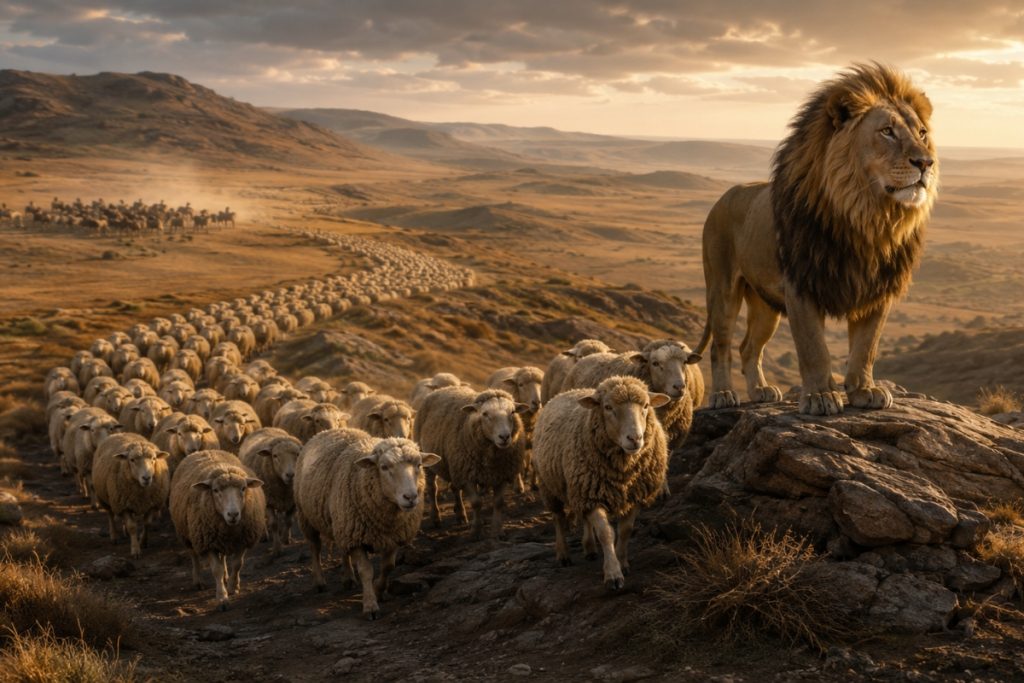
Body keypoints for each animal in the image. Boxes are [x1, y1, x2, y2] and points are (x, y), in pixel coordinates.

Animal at [694, 63, 938, 416]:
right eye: (887, 131)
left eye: (921, 133)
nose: (925, 162)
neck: (868, 217)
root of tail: (725, 196)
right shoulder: (802, 284)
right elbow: (814, 348)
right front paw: (820, 396)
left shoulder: (878, 290)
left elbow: (866, 346)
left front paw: (865, 390)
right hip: (723, 288)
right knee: (722, 345)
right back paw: (724, 394)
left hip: (765, 304)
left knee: (748, 347)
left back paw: (760, 391)